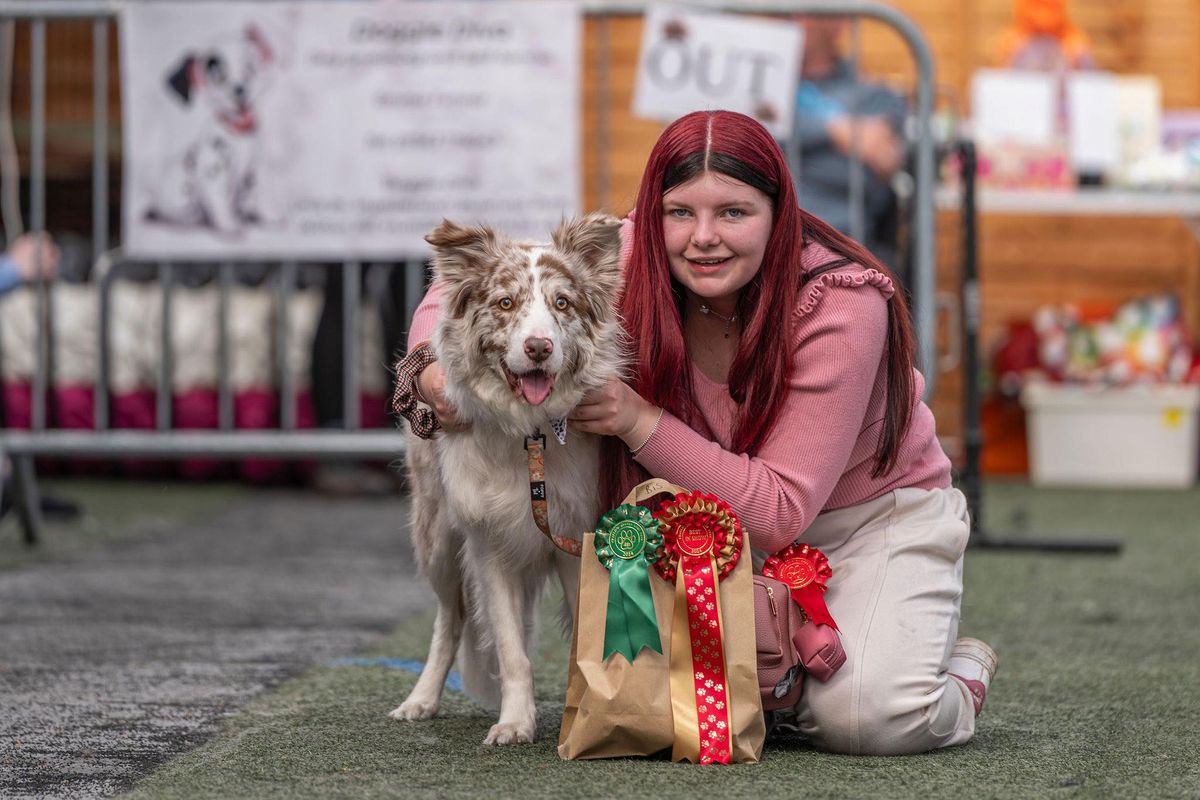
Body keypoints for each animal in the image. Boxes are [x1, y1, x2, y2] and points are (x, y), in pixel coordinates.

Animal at [142, 23, 276, 236]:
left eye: (249, 69)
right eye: (219, 77)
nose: (240, 90)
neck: (238, 135)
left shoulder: (252, 171)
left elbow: (257, 195)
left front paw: (266, 215)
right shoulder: (213, 174)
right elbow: (220, 203)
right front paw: (230, 226)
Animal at [388, 211, 624, 743]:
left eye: (562, 303)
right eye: (505, 303)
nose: (538, 347)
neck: (530, 434)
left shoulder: (576, 539)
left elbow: (583, 639)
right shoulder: (489, 543)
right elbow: (512, 652)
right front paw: (515, 723)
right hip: (436, 540)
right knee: (450, 621)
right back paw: (420, 701)